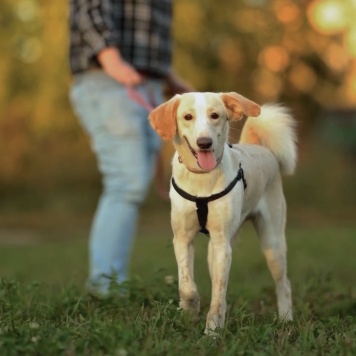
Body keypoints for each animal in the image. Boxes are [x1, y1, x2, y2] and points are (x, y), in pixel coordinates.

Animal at [148, 92, 298, 334]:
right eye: (187, 116)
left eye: (215, 115)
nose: (204, 143)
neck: (201, 177)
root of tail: (260, 148)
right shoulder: (182, 239)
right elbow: (187, 285)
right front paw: (189, 311)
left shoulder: (221, 244)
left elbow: (218, 295)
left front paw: (212, 331)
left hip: (272, 243)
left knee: (283, 283)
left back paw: (286, 319)